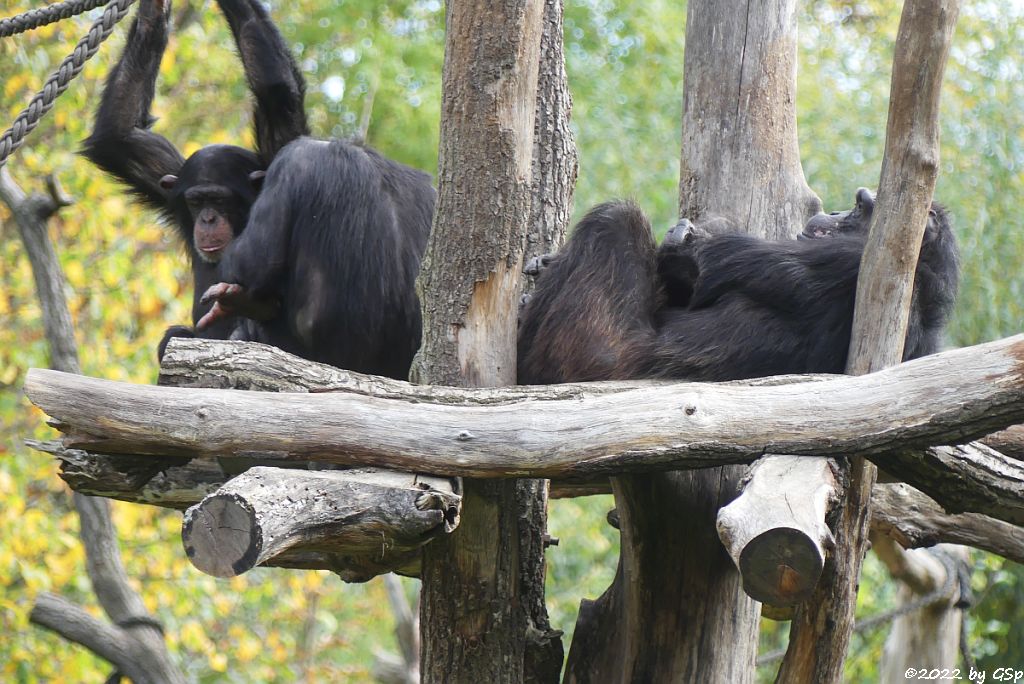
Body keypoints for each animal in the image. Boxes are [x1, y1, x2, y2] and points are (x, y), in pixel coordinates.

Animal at [82, 0, 307, 356]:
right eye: (196, 202)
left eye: (219, 200)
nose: (208, 219)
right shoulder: (170, 180)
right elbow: (119, 135)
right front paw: (153, 13)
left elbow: (278, 96)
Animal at [520, 188, 958, 385]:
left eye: (859, 207)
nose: (835, 211)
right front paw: (546, 264)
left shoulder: (846, 258)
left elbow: (712, 265)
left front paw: (686, 239)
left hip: (586, 351)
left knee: (616, 219)